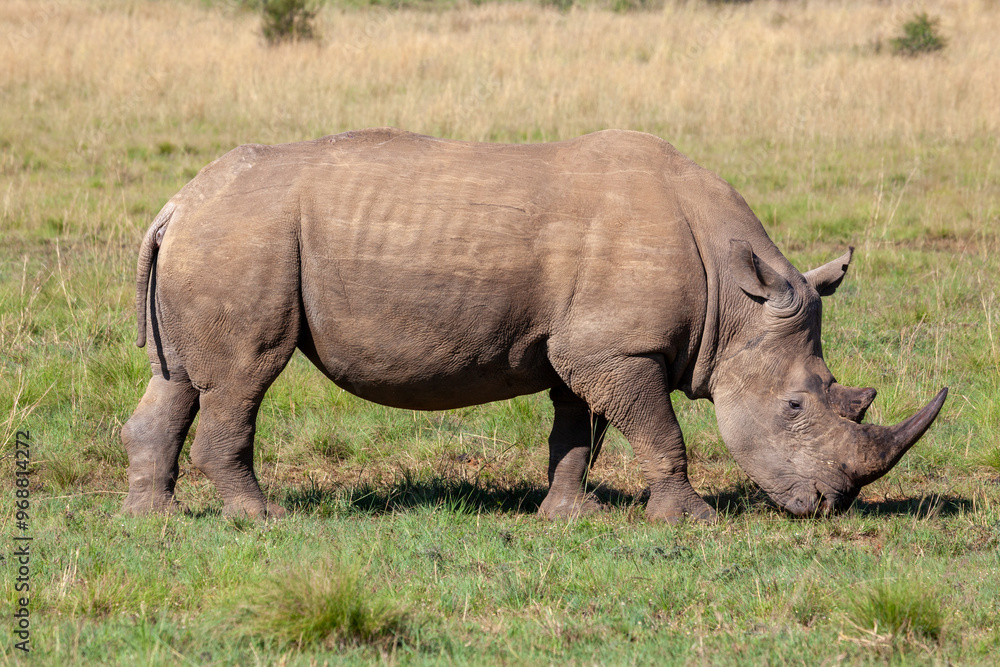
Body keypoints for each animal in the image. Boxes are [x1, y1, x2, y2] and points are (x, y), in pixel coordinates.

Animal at [122, 128, 947, 522]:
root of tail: (176, 203)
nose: (831, 506)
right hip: (244, 236)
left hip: (220, 233)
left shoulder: (587, 345)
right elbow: (661, 431)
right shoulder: (619, 347)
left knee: (181, 379)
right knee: (244, 375)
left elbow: (575, 431)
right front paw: (692, 518)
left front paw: (570, 514)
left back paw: (156, 515)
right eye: (797, 405)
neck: (734, 301)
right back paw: (263, 518)